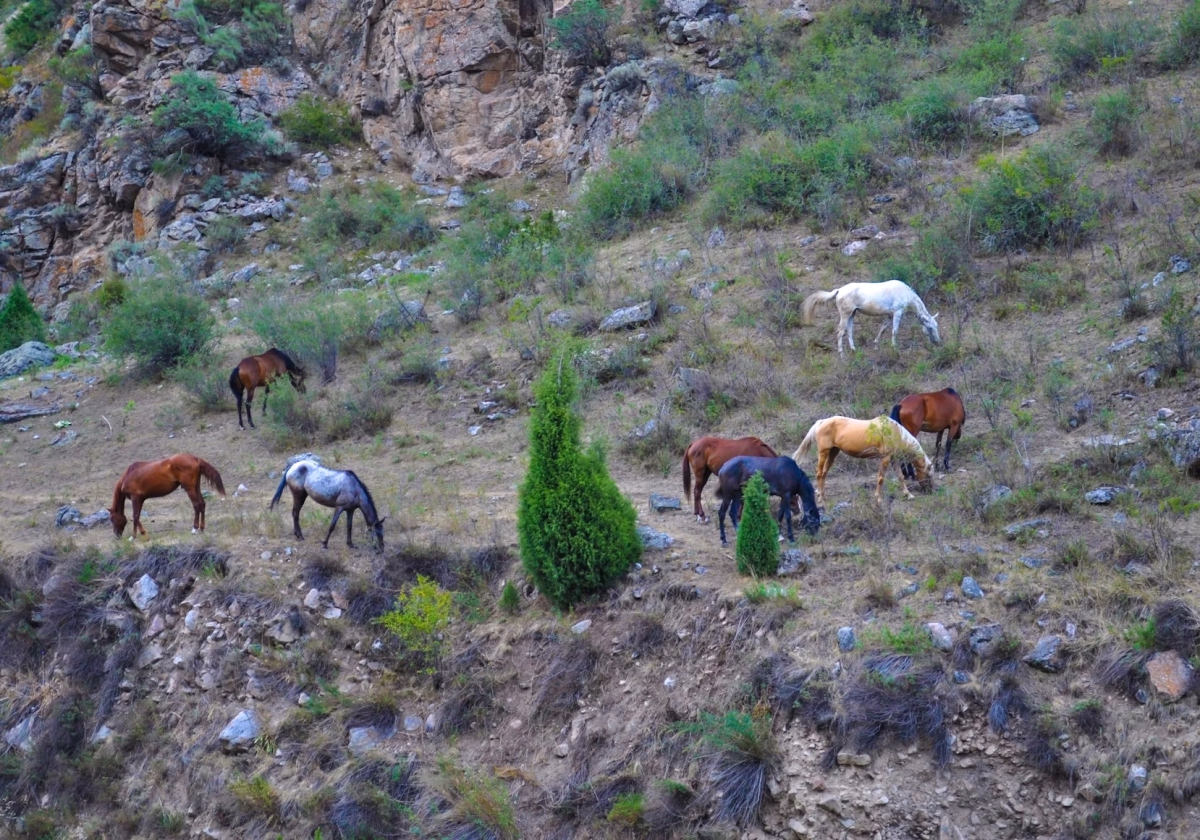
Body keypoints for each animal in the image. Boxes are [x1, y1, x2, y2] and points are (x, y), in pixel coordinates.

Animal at [792, 415, 933, 505]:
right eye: (929, 475)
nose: (930, 491)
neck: (894, 431)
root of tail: (821, 422)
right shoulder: (885, 459)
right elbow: (880, 478)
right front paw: (878, 499)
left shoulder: (894, 460)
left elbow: (900, 477)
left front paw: (908, 495)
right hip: (824, 452)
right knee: (819, 473)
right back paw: (820, 498)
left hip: (833, 452)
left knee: (824, 473)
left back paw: (824, 495)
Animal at [802, 280, 940, 355]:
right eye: (930, 328)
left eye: (936, 326)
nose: (937, 342)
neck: (905, 293)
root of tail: (839, 290)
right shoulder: (897, 313)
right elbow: (894, 331)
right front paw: (894, 348)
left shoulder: (889, 315)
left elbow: (883, 328)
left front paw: (875, 343)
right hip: (845, 315)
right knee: (840, 332)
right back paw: (841, 354)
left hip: (852, 314)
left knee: (849, 331)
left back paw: (853, 349)